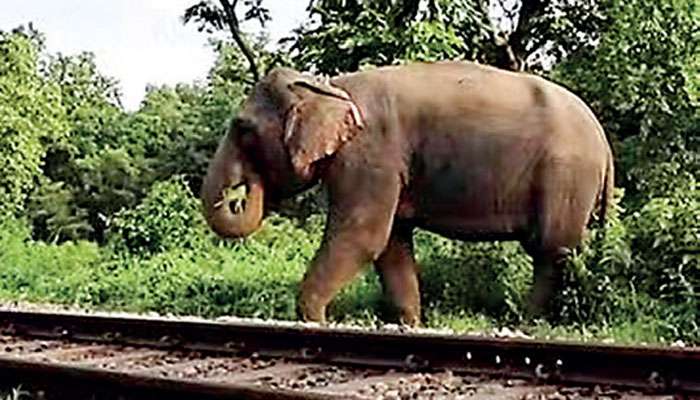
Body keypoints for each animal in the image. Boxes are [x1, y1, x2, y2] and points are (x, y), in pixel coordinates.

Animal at [201, 60, 614, 327]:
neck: (330, 87)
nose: (238, 192)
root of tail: (603, 141)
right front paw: (410, 324)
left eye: (243, 129)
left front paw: (313, 321)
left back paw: (527, 323)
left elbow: (362, 235)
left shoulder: (371, 154)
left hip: (566, 177)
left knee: (552, 251)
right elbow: (391, 244)